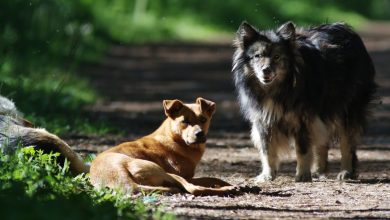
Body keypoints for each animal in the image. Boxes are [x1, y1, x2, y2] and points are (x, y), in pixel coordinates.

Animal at [233, 21, 376, 182]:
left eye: (277, 57)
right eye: (257, 56)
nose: (266, 70)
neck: (278, 89)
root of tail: (348, 30)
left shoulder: (303, 121)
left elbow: (302, 150)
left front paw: (302, 175)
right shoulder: (263, 121)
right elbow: (267, 150)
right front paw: (267, 175)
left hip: (348, 110)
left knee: (347, 144)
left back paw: (346, 172)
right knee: (323, 142)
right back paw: (319, 171)